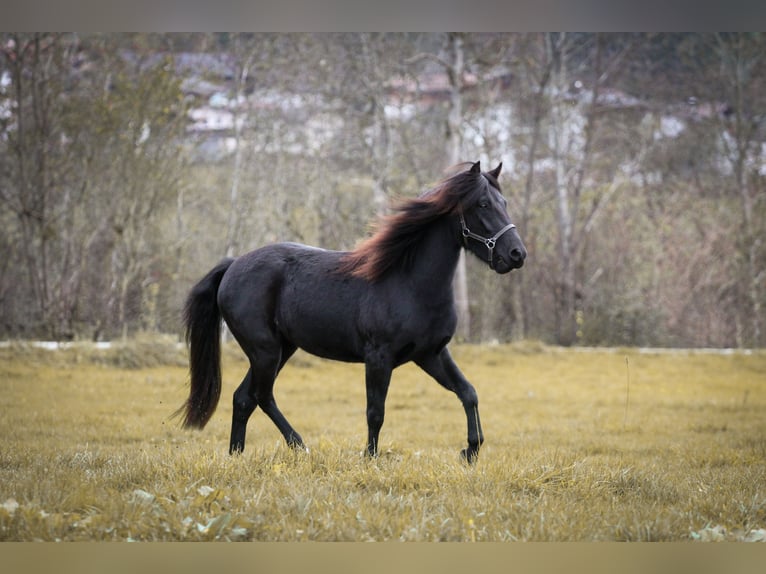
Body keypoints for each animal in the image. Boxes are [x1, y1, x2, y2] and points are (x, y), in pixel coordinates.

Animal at [178, 161, 528, 464]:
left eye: (504, 201)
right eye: (483, 204)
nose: (517, 254)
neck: (409, 281)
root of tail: (233, 265)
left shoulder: (431, 354)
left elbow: (468, 392)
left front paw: (470, 451)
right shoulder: (379, 357)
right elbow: (376, 412)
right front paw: (369, 458)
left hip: (280, 349)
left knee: (243, 398)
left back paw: (236, 456)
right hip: (265, 350)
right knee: (262, 396)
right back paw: (300, 446)